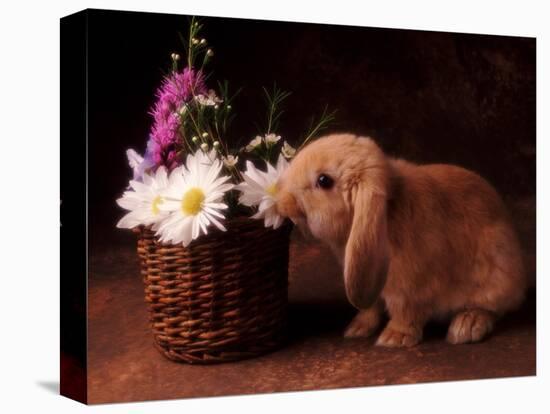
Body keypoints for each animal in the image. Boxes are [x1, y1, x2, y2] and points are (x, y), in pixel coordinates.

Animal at [278, 133, 528, 346]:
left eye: (324, 181)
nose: (282, 201)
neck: (389, 210)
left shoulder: (412, 288)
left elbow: (405, 311)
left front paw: (393, 338)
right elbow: (370, 307)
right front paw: (356, 329)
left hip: (496, 276)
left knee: (492, 308)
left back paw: (466, 327)